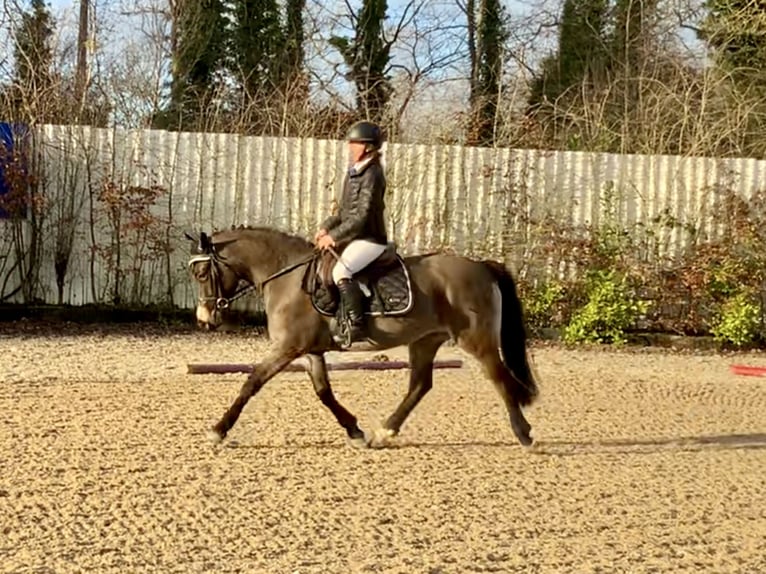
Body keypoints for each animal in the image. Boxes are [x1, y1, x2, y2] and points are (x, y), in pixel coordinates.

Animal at [188, 225, 540, 450]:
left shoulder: (288, 347)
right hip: (425, 340)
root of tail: (482, 266)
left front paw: (218, 431)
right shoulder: (310, 350)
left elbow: (252, 382)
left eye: (202, 273)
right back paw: (384, 432)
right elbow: (324, 393)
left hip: (476, 340)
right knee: (420, 385)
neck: (287, 276)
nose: (204, 319)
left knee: (498, 376)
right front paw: (354, 430)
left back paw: (524, 435)